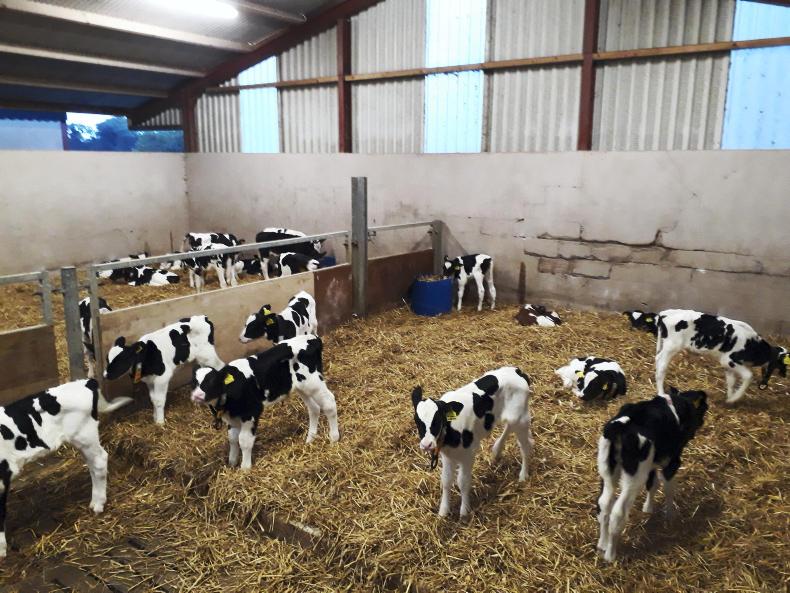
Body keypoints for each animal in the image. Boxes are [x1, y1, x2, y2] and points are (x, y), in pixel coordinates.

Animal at [191, 334, 340, 469]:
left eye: (212, 381)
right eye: (194, 382)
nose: (197, 395)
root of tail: (313, 338)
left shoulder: (251, 413)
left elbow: (244, 440)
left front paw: (245, 469)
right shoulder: (232, 417)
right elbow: (232, 438)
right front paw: (232, 463)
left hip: (314, 382)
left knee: (329, 403)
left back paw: (334, 438)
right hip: (302, 387)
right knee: (314, 408)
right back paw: (310, 439)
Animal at [411, 366, 533, 518]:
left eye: (437, 420)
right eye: (417, 420)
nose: (426, 444)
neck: (451, 430)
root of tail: (517, 370)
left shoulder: (468, 455)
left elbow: (462, 482)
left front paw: (464, 511)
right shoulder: (448, 456)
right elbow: (446, 480)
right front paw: (443, 511)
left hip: (520, 418)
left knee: (525, 447)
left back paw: (523, 475)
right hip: (512, 418)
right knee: (509, 426)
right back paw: (497, 451)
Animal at [596, 388, 708, 562]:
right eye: (704, 409)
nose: (701, 423)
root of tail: (622, 425)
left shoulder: (652, 463)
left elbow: (653, 483)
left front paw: (648, 508)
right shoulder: (672, 461)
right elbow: (668, 488)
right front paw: (670, 514)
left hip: (608, 471)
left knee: (604, 505)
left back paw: (602, 544)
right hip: (633, 478)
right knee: (617, 513)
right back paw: (610, 555)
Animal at [655, 309, 788, 403]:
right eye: (784, 363)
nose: (785, 375)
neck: (752, 345)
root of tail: (665, 313)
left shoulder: (726, 363)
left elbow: (731, 381)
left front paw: (729, 397)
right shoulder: (729, 360)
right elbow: (748, 376)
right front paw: (735, 398)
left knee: (657, 358)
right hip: (672, 346)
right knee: (662, 365)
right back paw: (661, 393)